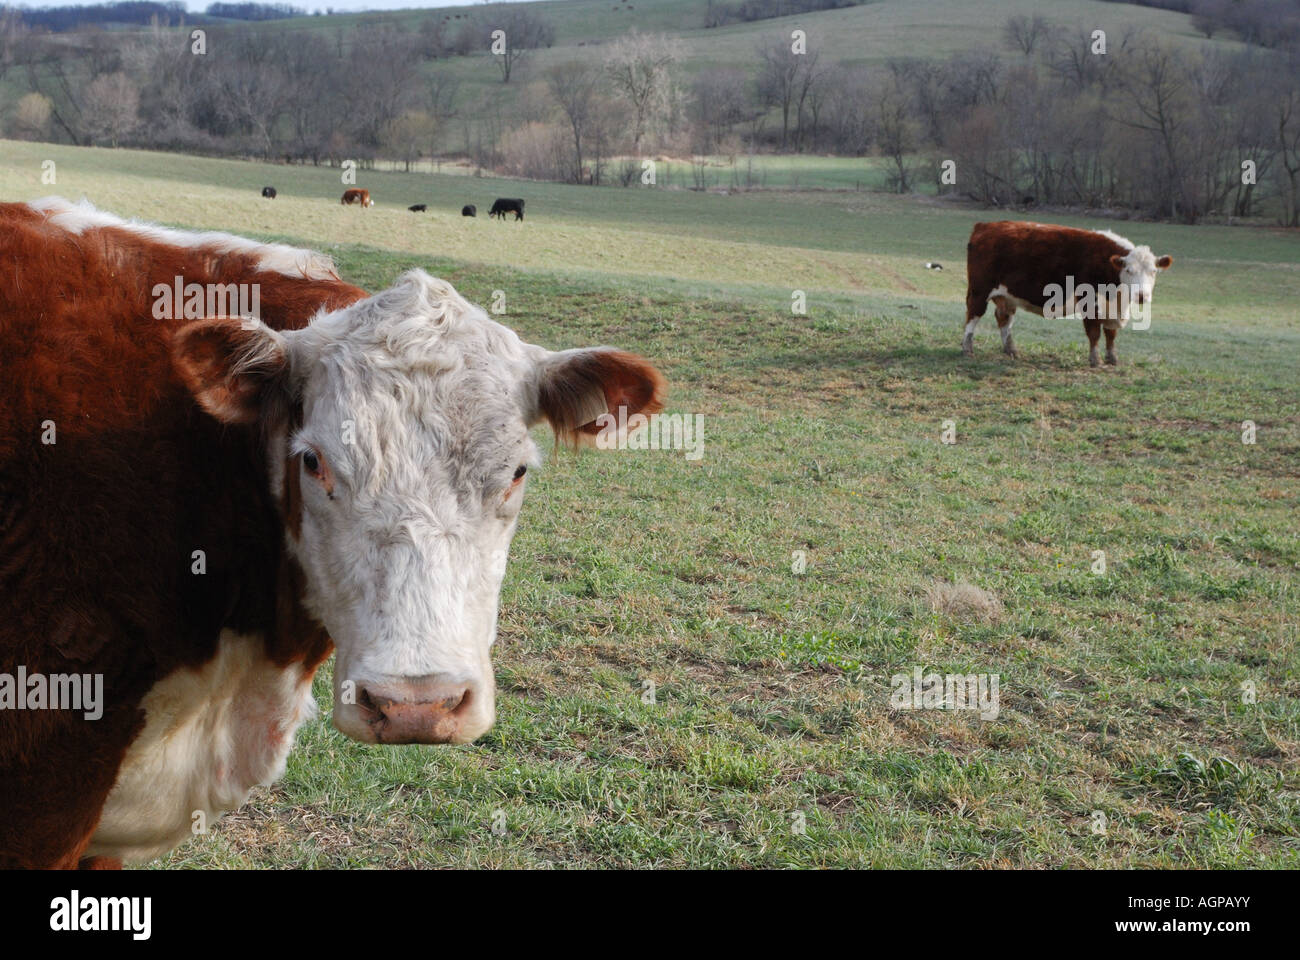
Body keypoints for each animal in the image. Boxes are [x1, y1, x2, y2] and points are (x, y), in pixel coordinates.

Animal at [964, 221, 1173, 366]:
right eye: (1129, 271)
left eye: (1153, 271)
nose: (1141, 296)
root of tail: (986, 225)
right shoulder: (1090, 303)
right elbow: (1094, 333)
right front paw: (1095, 360)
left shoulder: (1112, 309)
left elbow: (1111, 334)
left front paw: (1112, 358)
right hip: (979, 290)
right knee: (973, 316)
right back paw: (967, 348)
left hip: (1007, 296)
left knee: (1003, 318)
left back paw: (1011, 350)